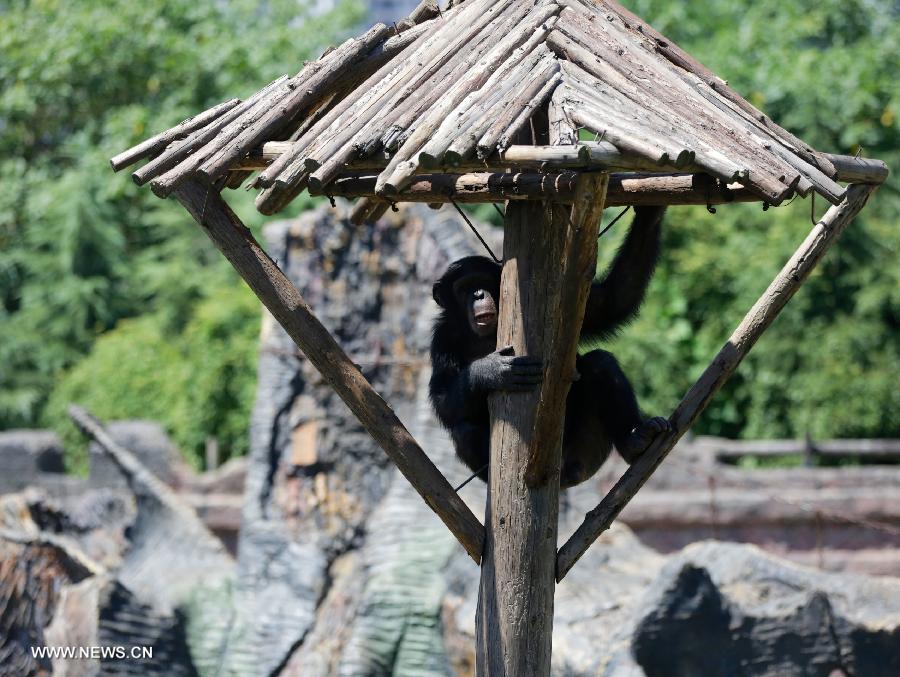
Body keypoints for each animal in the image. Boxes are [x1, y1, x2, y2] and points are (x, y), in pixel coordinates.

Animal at [432, 206, 672, 486]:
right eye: (463, 288)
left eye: (482, 282)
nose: (479, 294)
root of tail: (561, 474)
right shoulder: (442, 341)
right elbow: (443, 399)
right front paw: (491, 370)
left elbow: (611, 302)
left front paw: (649, 215)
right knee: (464, 430)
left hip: (587, 450)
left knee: (601, 364)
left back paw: (635, 439)